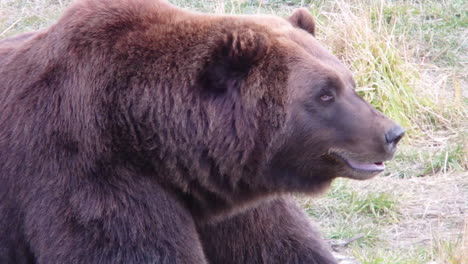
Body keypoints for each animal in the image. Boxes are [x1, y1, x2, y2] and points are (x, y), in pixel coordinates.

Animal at [0, 0, 404, 264]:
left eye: (350, 83)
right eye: (325, 94)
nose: (392, 133)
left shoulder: (233, 196)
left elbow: (280, 246)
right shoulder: (90, 173)